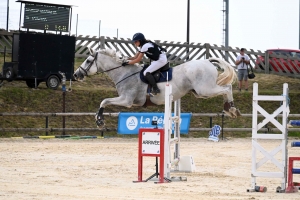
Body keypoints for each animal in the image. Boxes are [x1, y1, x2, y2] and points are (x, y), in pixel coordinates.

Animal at [74, 48, 240, 126]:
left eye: (88, 60)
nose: (76, 75)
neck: (124, 73)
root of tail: (207, 61)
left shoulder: (126, 100)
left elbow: (104, 101)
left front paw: (99, 120)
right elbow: (105, 101)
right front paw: (99, 119)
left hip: (205, 89)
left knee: (227, 89)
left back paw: (231, 109)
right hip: (201, 92)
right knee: (225, 89)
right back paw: (230, 109)